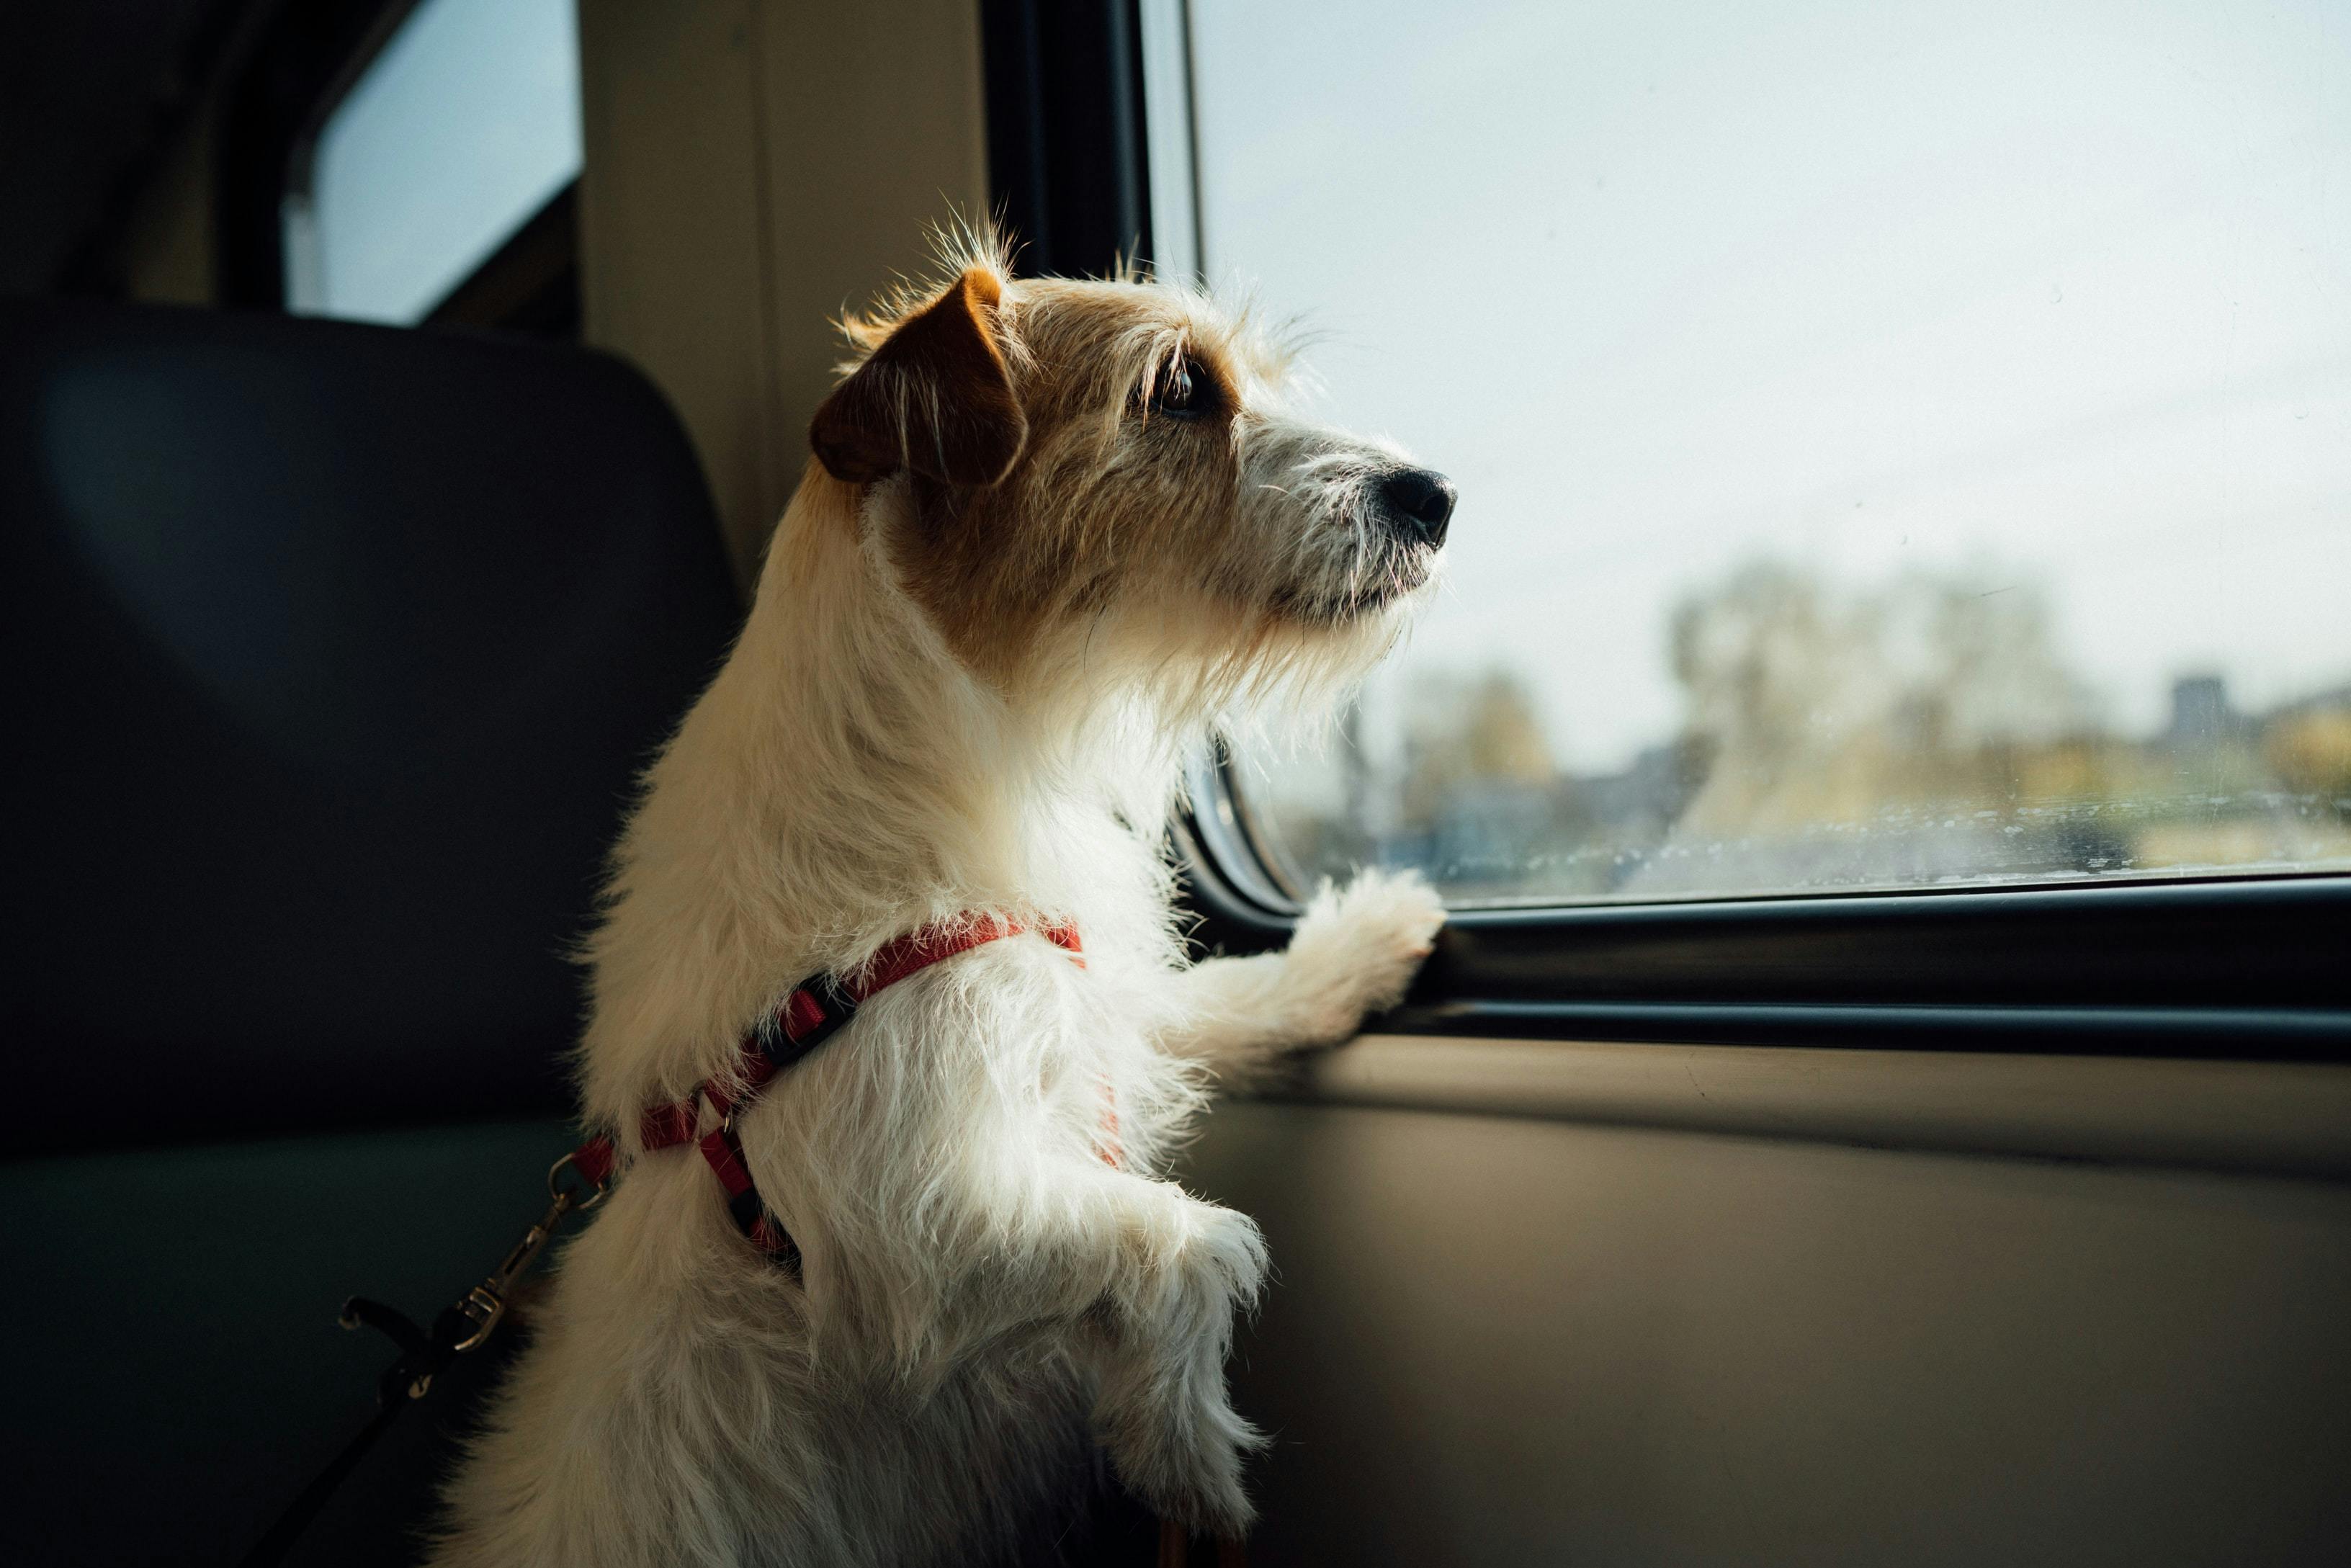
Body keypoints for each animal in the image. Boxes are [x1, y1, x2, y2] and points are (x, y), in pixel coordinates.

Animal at [425, 236, 1448, 1568]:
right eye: (1177, 389)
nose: (1434, 495)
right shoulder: (909, 1220)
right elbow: (1183, 1239)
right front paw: (1187, 1451)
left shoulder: (1073, 991)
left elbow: (1210, 1000)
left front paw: (1359, 947)